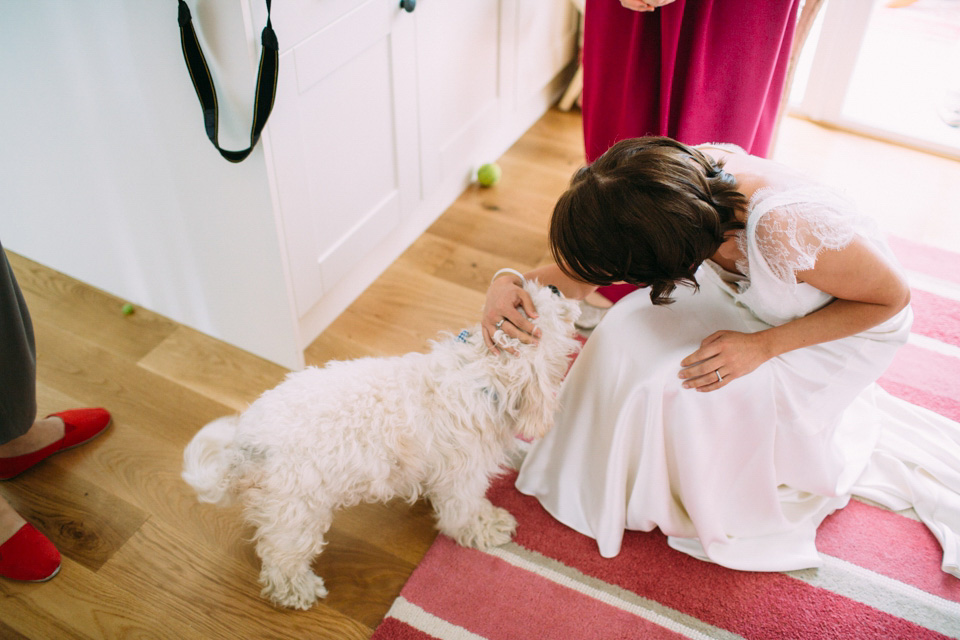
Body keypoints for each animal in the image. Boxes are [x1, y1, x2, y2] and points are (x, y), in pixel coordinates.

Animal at [184, 282, 580, 608]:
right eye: (531, 307)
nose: (557, 286)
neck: (479, 374)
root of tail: (246, 444)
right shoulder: (461, 477)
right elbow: (464, 512)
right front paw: (488, 526)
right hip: (299, 514)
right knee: (280, 561)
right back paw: (298, 591)